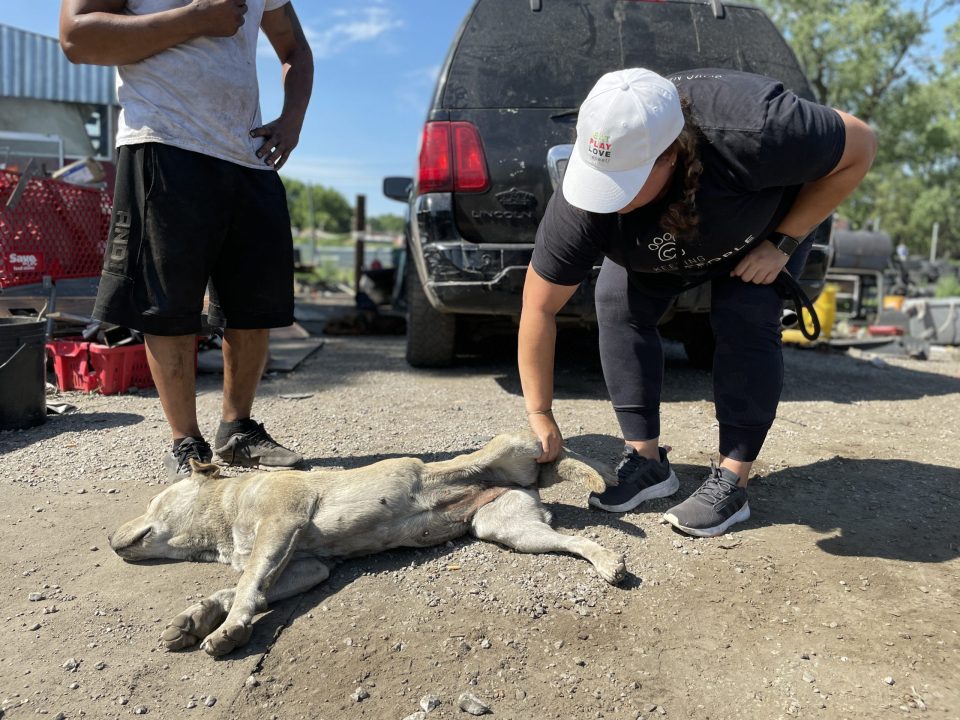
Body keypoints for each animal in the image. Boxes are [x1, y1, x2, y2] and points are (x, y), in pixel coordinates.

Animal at [109, 430, 628, 656]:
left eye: (153, 501)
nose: (109, 537)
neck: (226, 516)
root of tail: (516, 481)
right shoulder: (307, 566)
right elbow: (240, 588)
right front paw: (194, 618)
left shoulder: (281, 522)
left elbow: (247, 587)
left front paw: (229, 629)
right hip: (509, 530)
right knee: (572, 537)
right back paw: (608, 561)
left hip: (512, 448)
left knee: (559, 449)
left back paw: (605, 479)